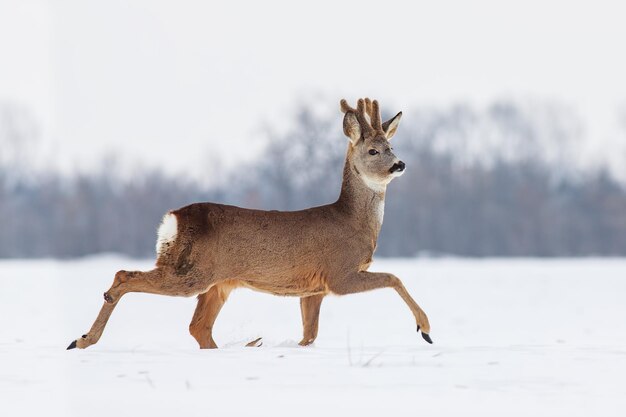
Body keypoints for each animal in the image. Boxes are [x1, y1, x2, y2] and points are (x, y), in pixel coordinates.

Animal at [67, 99, 428, 350]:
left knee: (198, 327)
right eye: (373, 151)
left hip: (218, 282)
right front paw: (425, 329)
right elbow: (394, 277)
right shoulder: (339, 273)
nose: (399, 164)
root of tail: (174, 219)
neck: (353, 222)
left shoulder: (313, 287)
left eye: (392, 146)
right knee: (124, 275)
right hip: (192, 272)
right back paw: (83, 339)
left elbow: (309, 334)